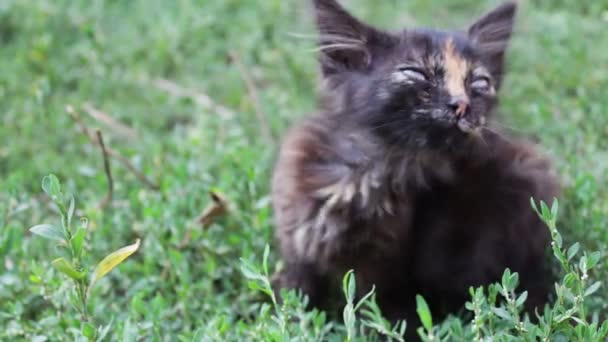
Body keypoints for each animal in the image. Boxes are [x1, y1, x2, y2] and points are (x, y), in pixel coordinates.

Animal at [274, 0, 560, 332]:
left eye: (479, 82)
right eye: (416, 73)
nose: (462, 105)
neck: (360, 172)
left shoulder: (388, 272)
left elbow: (386, 313)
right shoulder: (297, 244)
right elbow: (295, 295)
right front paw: (292, 322)